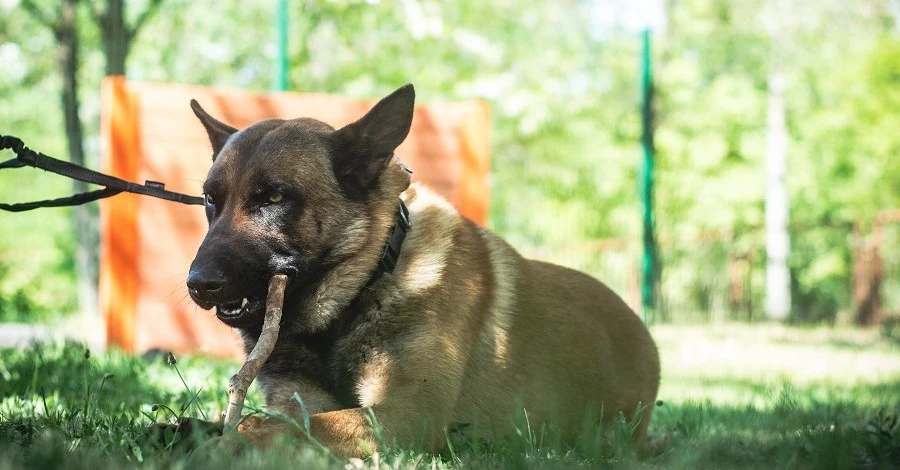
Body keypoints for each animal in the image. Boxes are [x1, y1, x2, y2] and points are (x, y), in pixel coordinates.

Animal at [185, 83, 660, 456]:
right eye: (210, 200)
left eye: (274, 198)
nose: (199, 285)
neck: (367, 282)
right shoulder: (305, 402)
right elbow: (253, 421)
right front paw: (180, 433)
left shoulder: (405, 414)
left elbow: (271, 426)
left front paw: (223, 444)